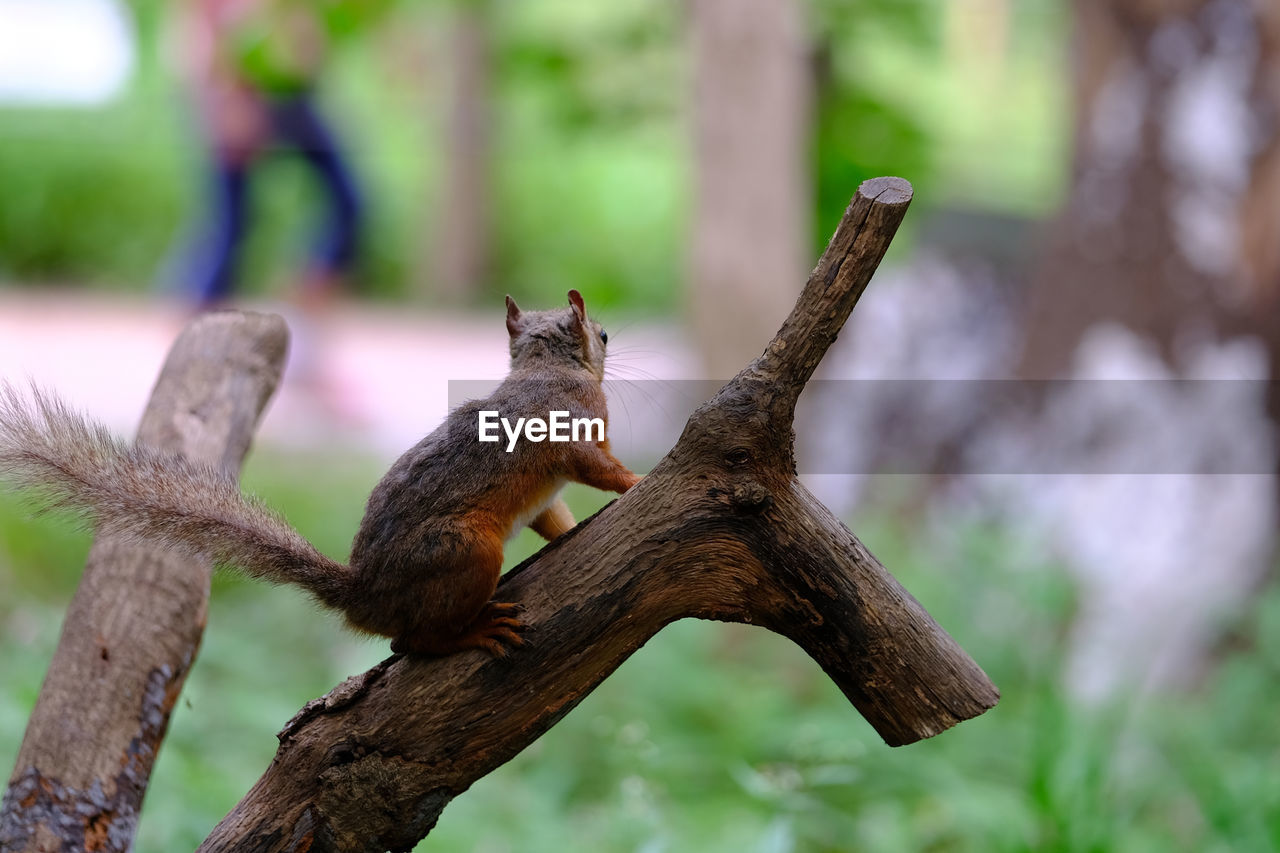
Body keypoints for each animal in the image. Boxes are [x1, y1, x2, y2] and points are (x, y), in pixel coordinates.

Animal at [0, 289, 640, 653]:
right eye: (605, 334)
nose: (614, 341)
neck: (546, 368)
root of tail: (364, 597)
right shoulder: (572, 435)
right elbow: (596, 468)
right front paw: (636, 483)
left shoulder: (545, 492)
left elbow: (552, 515)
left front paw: (573, 531)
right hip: (466, 550)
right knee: (411, 643)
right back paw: (470, 634)